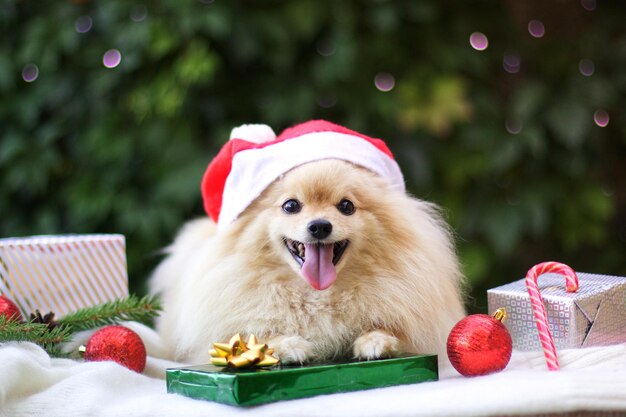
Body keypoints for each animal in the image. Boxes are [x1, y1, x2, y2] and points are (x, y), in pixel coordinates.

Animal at [150, 121, 464, 364]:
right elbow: (257, 336)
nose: (320, 226)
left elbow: (395, 331)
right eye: (291, 206)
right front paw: (291, 346)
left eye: (347, 206)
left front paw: (376, 341)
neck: (317, 295)